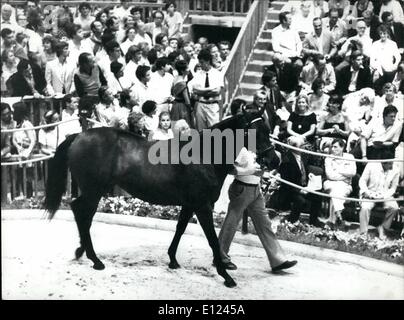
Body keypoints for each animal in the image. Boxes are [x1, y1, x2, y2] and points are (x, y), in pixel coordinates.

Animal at [43, 110, 278, 288]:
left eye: (268, 129)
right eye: (255, 131)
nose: (274, 159)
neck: (204, 155)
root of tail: (78, 136)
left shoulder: (189, 204)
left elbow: (180, 229)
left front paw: (173, 260)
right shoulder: (203, 206)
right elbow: (212, 239)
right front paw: (227, 277)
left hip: (93, 191)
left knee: (81, 213)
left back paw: (82, 252)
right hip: (94, 190)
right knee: (82, 213)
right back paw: (95, 260)